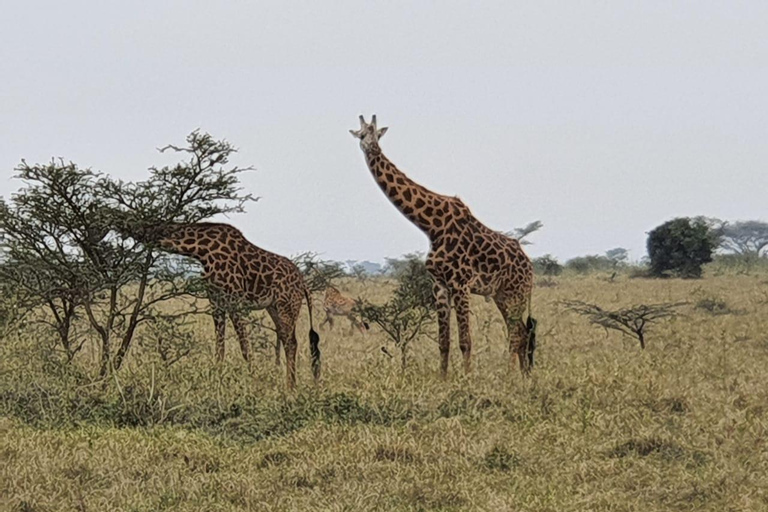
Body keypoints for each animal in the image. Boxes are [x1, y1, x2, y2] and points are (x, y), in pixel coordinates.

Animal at [118, 221, 320, 388]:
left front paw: (253, 380)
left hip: (288, 304)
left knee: (291, 342)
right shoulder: (216, 302)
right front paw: (217, 380)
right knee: (287, 340)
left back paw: (290, 388)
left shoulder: (234, 301)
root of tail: (303, 283)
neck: (202, 250)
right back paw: (291, 384)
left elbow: (244, 347)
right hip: (274, 307)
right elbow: (220, 347)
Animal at [352, 117, 536, 380]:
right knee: (520, 332)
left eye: (376, 135)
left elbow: (465, 341)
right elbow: (443, 342)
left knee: (518, 334)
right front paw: (443, 380)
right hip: (502, 294)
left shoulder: (461, 283)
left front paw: (467, 380)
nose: (372, 149)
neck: (431, 226)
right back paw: (524, 377)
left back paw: (511, 377)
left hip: (516, 293)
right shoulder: (439, 284)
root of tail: (530, 266)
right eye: (361, 135)